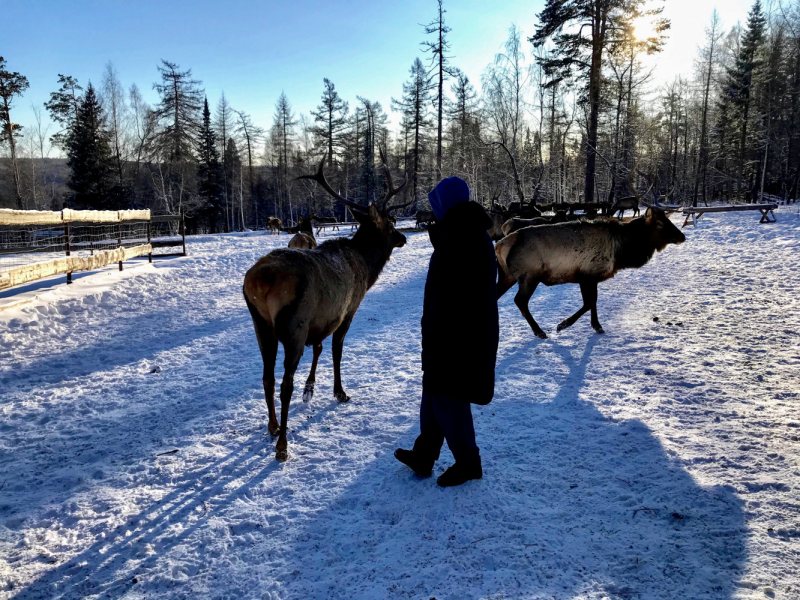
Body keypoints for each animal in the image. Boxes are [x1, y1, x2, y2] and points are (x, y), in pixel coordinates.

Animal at [242, 151, 412, 460]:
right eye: (392, 221)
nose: (403, 238)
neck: (368, 268)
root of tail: (260, 280)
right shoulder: (348, 309)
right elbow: (336, 350)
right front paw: (340, 392)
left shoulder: (322, 318)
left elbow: (319, 347)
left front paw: (310, 389)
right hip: (294, 326)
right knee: (285, 383)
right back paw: (282, 445)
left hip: (261, 325)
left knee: (267, 377)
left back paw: (273, 427)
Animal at [494, 204, 688, 338]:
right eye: (660, 223)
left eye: (668, 219)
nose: (682, 236)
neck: (621, 252)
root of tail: (499, 244)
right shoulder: (586, 274)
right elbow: (588, 303)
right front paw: (563, 324)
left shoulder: (593, 276)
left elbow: (593, 301)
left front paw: (597, 326)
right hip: (529, 276)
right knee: (520, 301)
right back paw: (539, 331)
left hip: (508, 275)